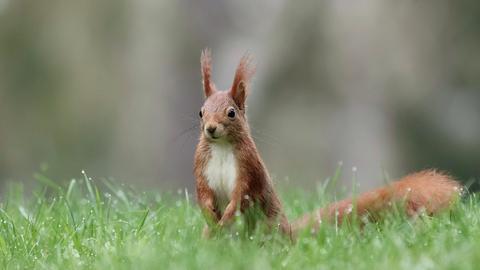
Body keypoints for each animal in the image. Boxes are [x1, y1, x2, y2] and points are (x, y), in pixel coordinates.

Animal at [193, 49, 464, 238]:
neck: (221, 147)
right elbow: (204, 193)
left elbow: (242, 195)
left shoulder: (249, 167)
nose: (211, 129)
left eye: (231, 113)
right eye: (201, 112)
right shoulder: (202, 165)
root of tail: (290, 236)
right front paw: (212, 217)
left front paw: (226, 216)